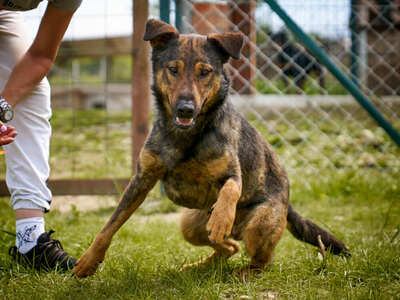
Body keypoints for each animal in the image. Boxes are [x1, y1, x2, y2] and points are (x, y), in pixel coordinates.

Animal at [73, 19, 348, 278]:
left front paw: (221, 218)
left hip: (259, 224)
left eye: (205, 72)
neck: (187, 135)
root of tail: (287, 204)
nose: (186, 109)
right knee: (229, 247)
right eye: (173, 69)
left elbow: (230, 189)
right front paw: (88, 261)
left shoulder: (233, 174)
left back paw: (243, 269)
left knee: (261, 261)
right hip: (189, 224)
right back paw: (199, 265)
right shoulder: (141, 179)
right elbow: (110, 224)